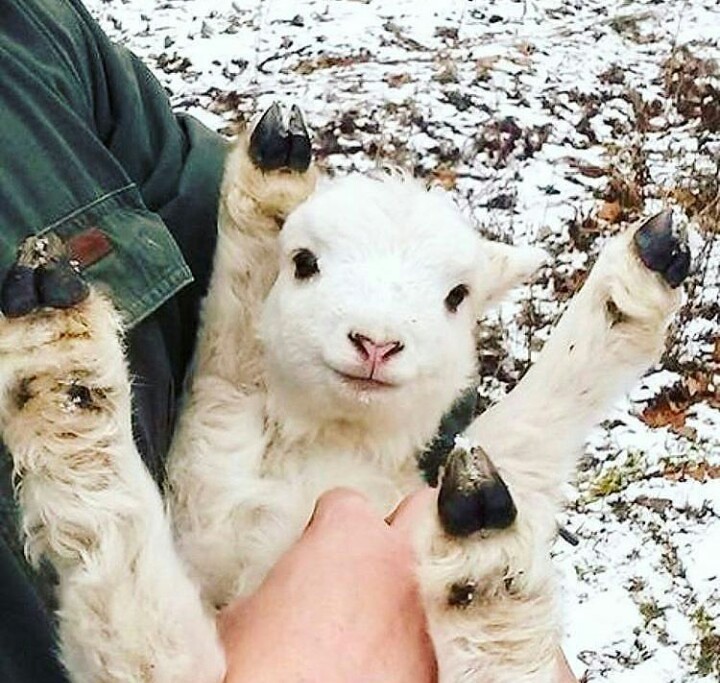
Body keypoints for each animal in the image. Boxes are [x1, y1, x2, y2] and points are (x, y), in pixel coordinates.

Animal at [0, 103, 688, 683]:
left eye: (457, 296)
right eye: (304, 263)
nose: (377, 343)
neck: (333, 444)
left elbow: (529, 431)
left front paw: (635, 286)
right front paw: (58, 360)